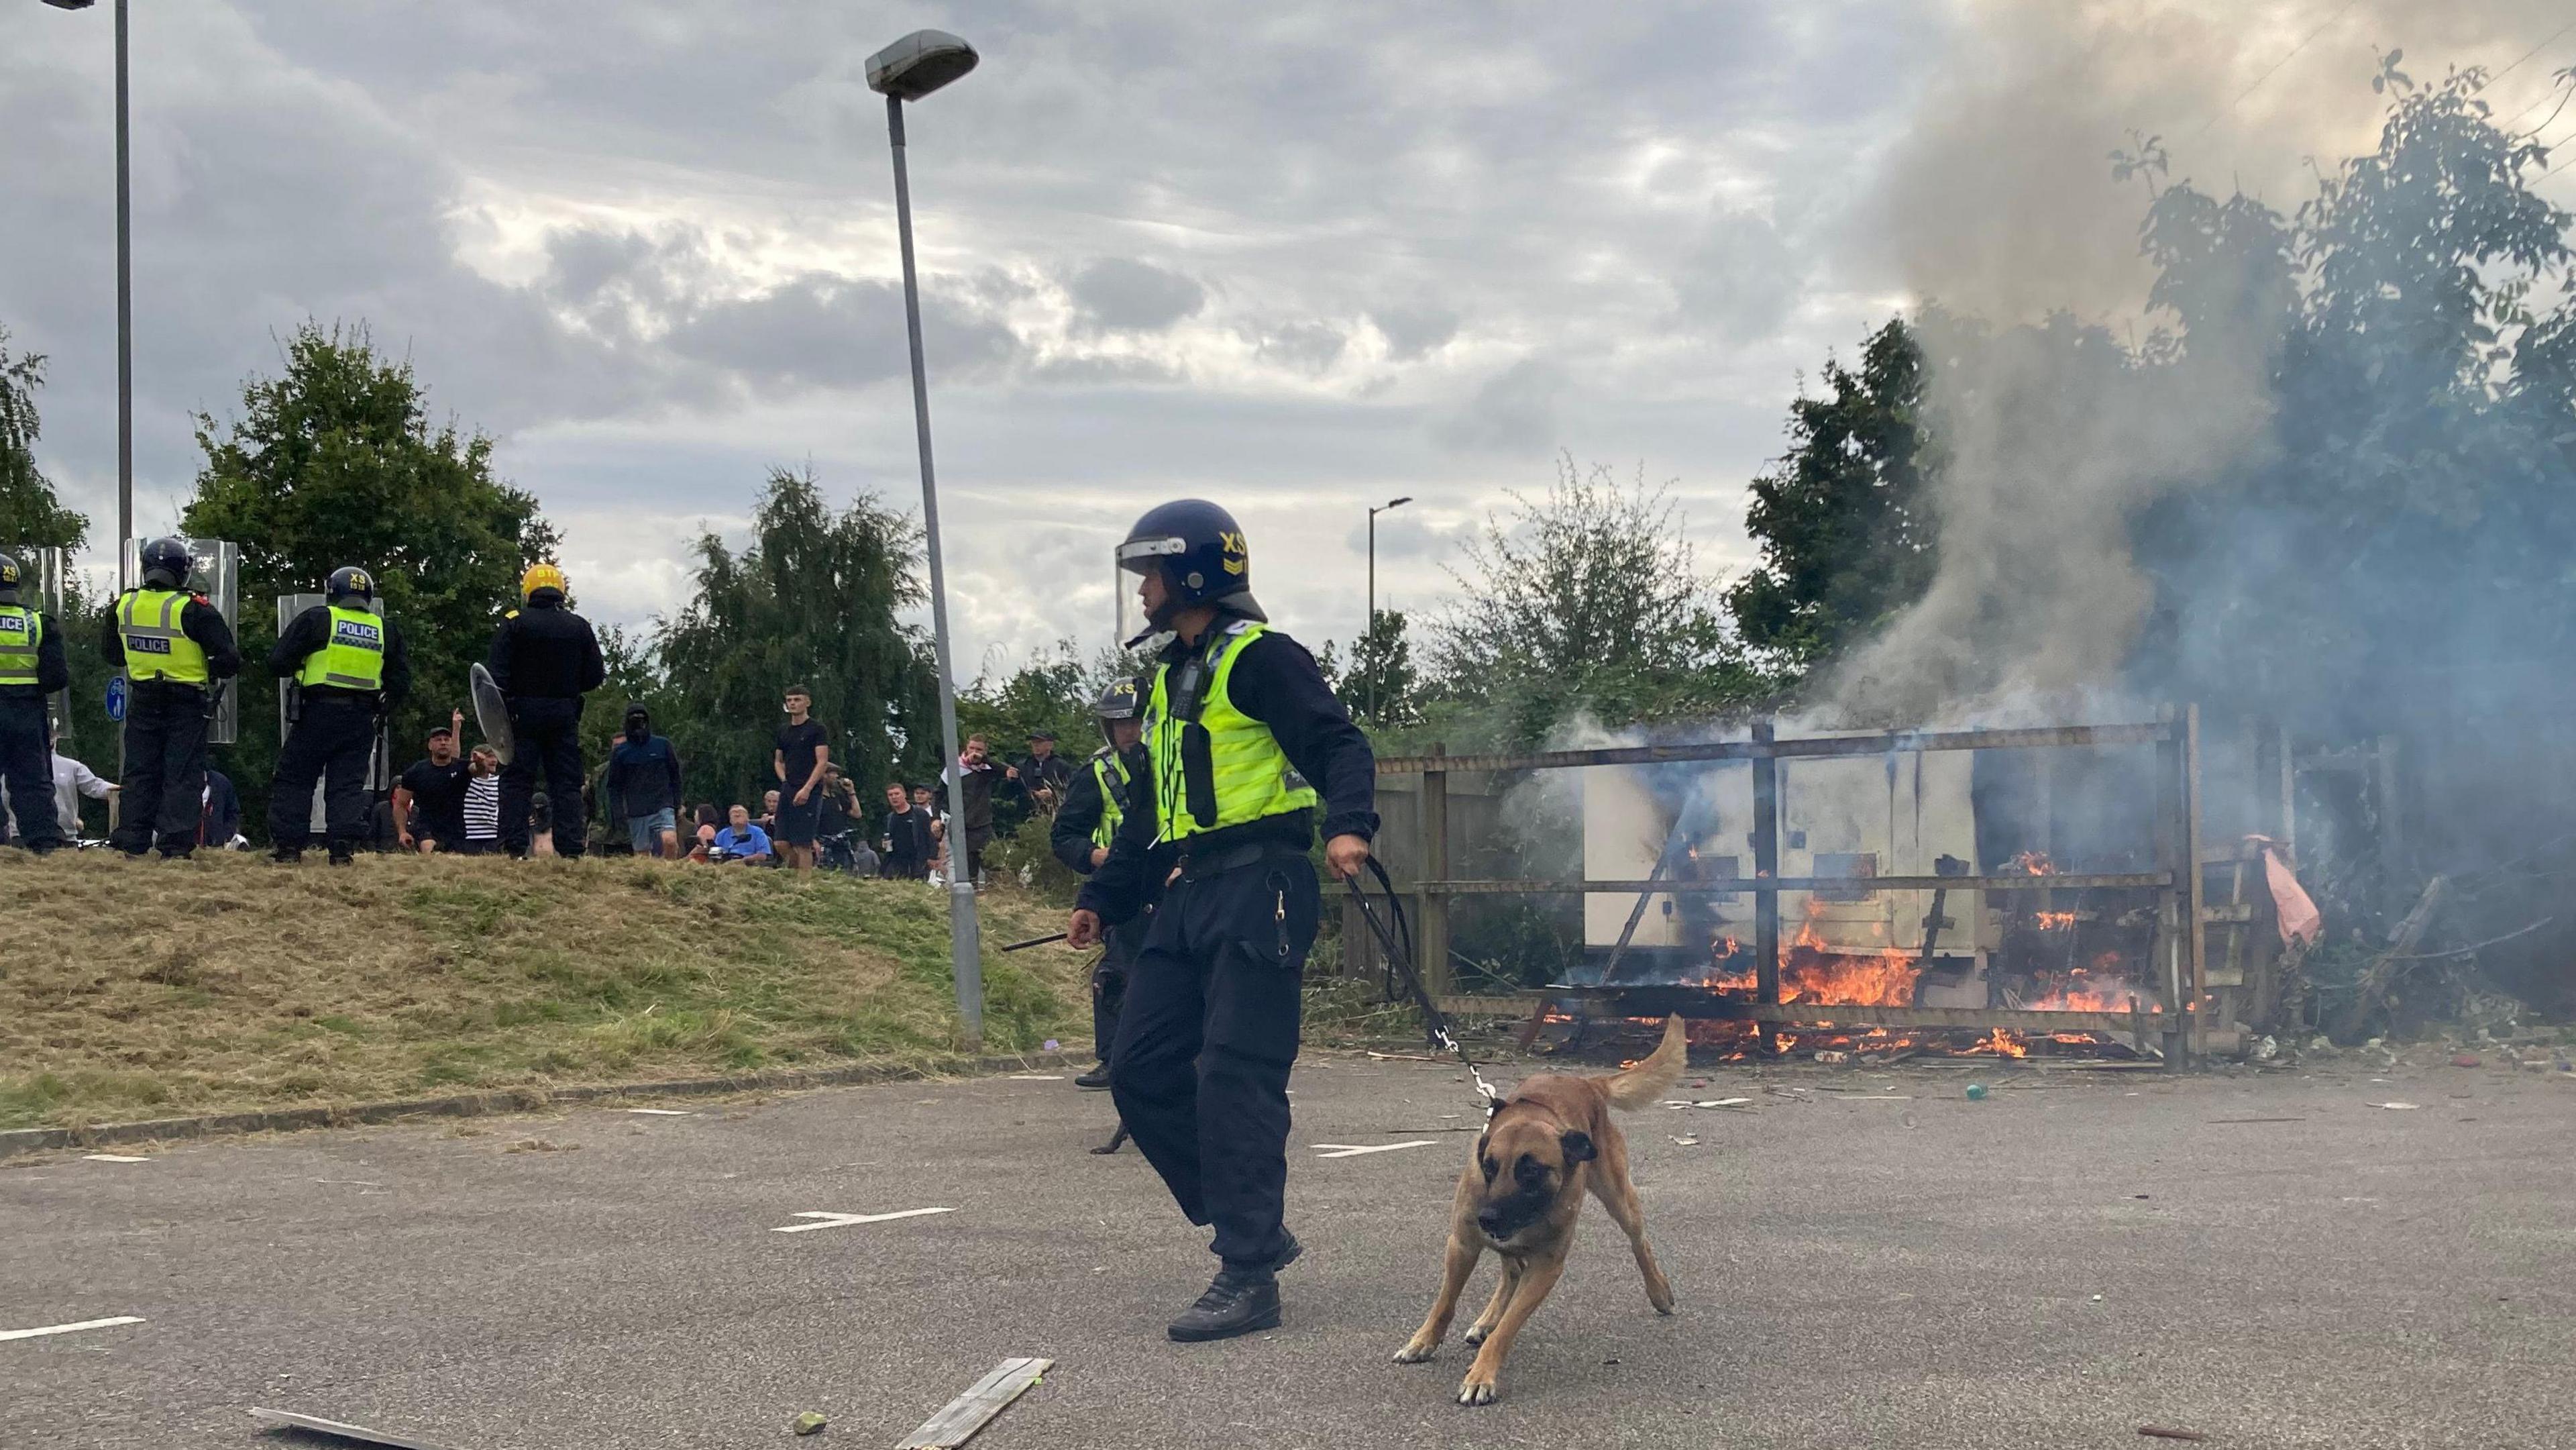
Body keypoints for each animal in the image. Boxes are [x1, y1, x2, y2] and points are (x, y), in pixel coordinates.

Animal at [1391, 1009, 1690, 1411]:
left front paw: (1481, 1375)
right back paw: (1487, 1319)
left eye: (1531, 1171)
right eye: (1489, 1166)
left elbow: (1507, 1329)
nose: (1488, 1217)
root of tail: (1587, 1083)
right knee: (1511, 1269)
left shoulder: (1547, 1267)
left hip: (1618, 1197)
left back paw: (1658, 1291)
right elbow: (1445, 1304)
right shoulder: (1463, 1244)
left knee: (1638, 1241)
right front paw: (1423, 1342)